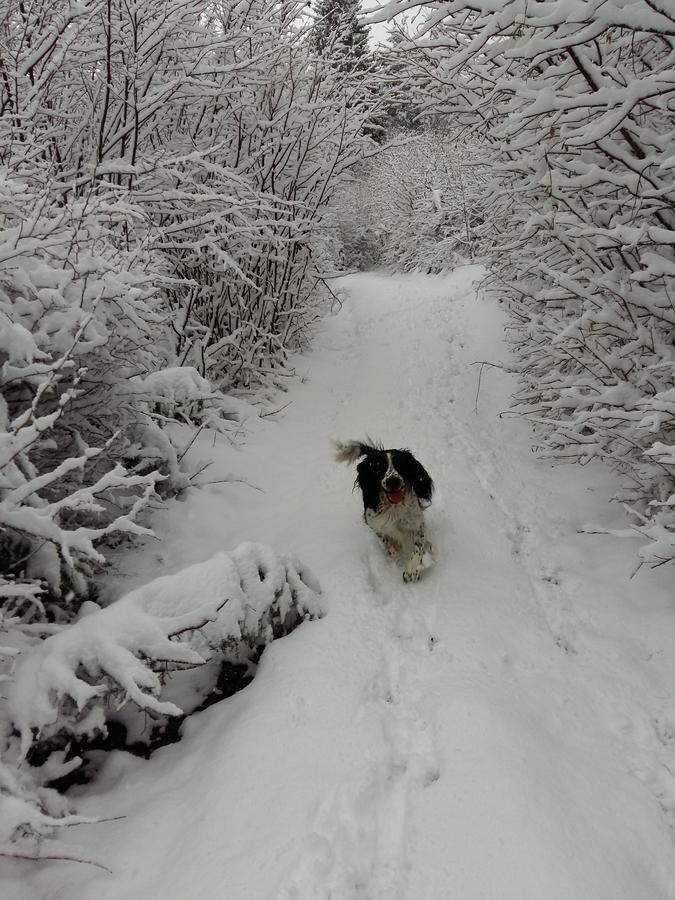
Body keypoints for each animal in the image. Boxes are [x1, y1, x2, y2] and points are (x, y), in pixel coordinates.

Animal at [336, 438, 436, 584]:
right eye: (378, 468)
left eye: (401, 465)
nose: (392, 481)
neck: (393, 507)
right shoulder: (372, 521)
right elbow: (383, 536)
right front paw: (392, 548)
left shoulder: (417, 523)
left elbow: (418, 547)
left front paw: (412, 570)